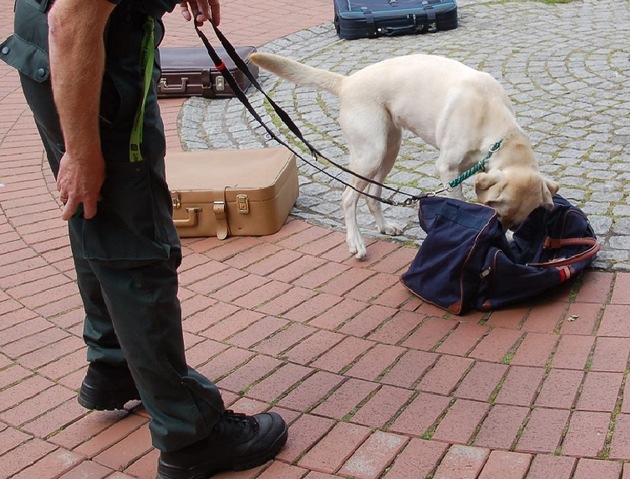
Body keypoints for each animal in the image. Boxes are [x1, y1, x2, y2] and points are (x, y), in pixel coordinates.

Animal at [249, 52, 560, 260]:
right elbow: (459, 202)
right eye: (499, 213)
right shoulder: (448, 170)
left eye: (516, 223)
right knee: (349, 198)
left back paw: (385, 227)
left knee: (372, 196)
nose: (505, 237)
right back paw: (356, 243)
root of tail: (347, 82)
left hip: (390, 149)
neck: (491, 119)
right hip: (370, 154)